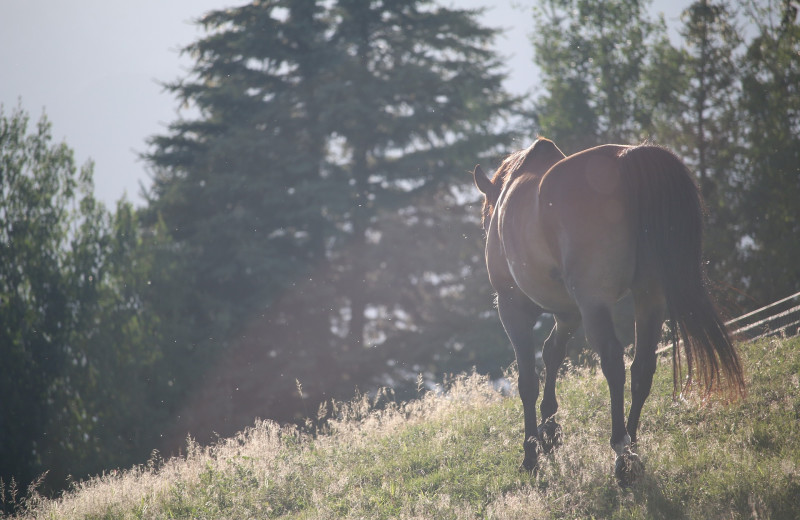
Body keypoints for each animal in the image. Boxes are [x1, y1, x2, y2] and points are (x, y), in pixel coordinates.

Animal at [476, 137, 744, 484]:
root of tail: (629, 158)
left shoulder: (513, 307)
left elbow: (527, 381)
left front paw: (532, 452)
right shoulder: (569, 312)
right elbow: (552, 353)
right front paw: (550, 432)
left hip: (595, 301)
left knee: (614, 362)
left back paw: (621, 451)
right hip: (649, 296)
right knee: (642, 366)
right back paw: (632, 442)